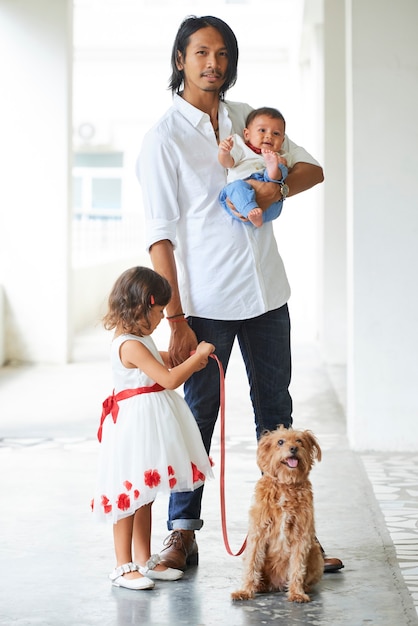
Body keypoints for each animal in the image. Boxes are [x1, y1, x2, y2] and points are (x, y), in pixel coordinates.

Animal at [232, 424, 324, 600]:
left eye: (299, 441)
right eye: (280, 442)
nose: (293, 448)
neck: (285, 484)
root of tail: (277, 583)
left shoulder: (301, 535)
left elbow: (297, 567)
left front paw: (296, 593)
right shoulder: (258, 533)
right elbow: (252, 564)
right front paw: (245, 591)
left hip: (316, 553)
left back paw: (304, 587)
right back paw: (259, 585)